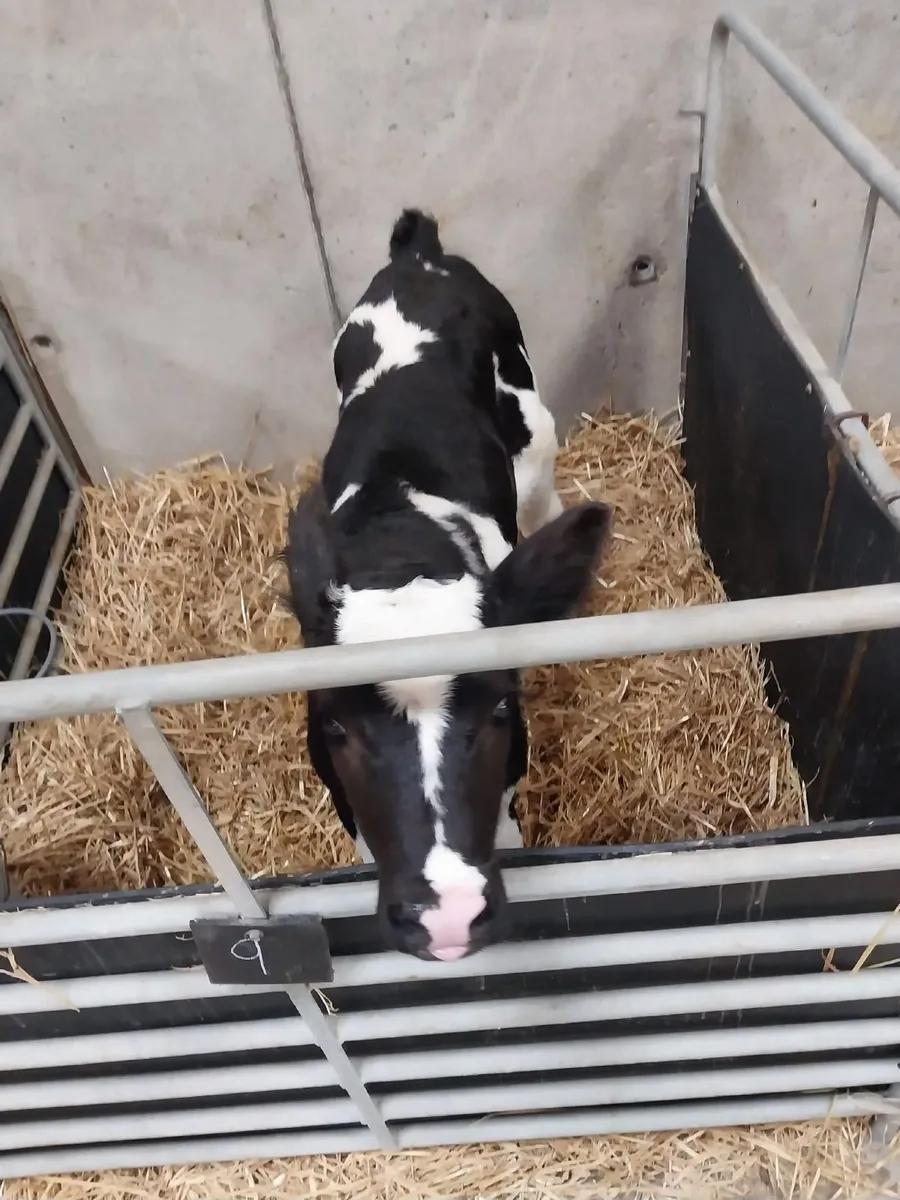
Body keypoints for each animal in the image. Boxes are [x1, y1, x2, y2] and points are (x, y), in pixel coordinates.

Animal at [285, 208, 611, 962]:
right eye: (336, 724)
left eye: (501, 710)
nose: (447, 917)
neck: (399, 543)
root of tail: (420, 255)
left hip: (536, 433)